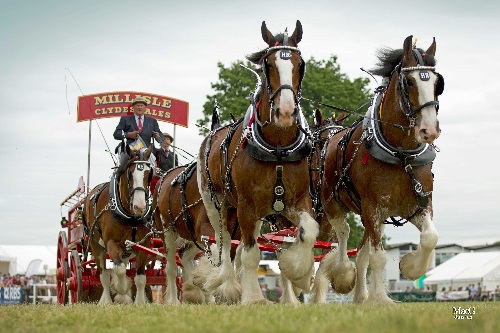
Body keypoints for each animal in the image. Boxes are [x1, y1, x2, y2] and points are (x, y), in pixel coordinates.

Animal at [83, 144, 153, 302]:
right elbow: (119, 270)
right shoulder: (111, 243)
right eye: (130, 174)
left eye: (148, 174)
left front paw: (140, 301)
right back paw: (106, 301)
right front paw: (121, 288)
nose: (140, 207)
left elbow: (140, 277)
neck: (131, 217)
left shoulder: (144, 245)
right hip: (96, 247)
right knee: (103, 275)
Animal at [310, 36, 444, 304]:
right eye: (409, 81)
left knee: (361, 253)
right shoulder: (371, 207)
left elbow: (429, 238)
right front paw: (381, 299)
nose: (429, 130)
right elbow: (378, 256)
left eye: (437, 83)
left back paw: (361, 296)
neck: (401, 155)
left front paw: (409, 266)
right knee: (343, 236)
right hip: (334, 204)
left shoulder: (418, 204)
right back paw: (343, 274)